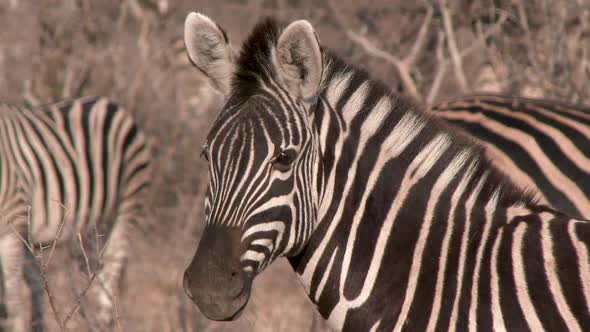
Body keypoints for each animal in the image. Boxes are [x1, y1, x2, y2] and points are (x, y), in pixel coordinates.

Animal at [0, 96, 153, 332]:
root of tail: (108, 102)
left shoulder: (12, 222)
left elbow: (11, 303)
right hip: (90, 231)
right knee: (82, 275)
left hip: (128, 204)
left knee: (109, 274)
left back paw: (99, 324)